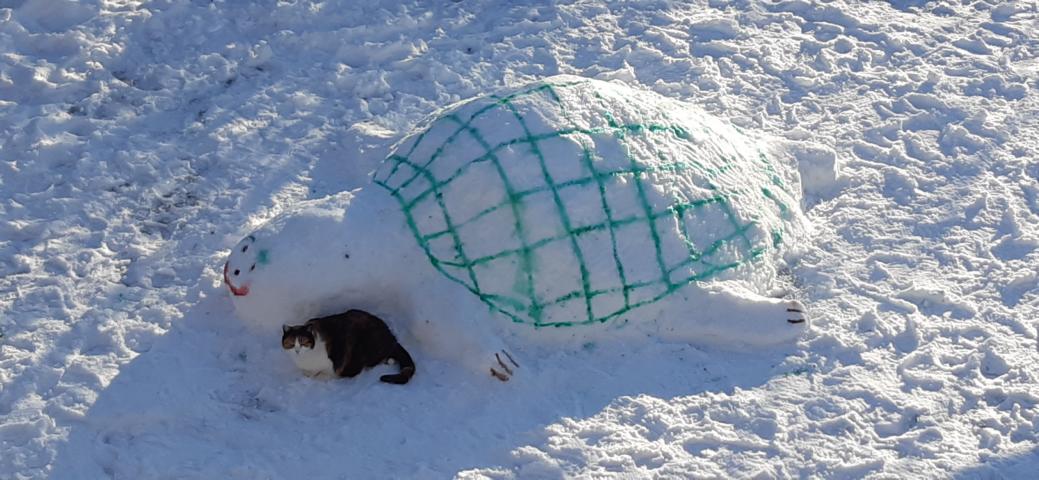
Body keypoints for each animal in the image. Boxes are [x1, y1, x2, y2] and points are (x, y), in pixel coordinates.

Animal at [284, 309, 417, 384]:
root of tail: (391, 337)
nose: (297, 350)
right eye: (291, 343)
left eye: (303, 341)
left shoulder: (333, 368)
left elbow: (320, 375)